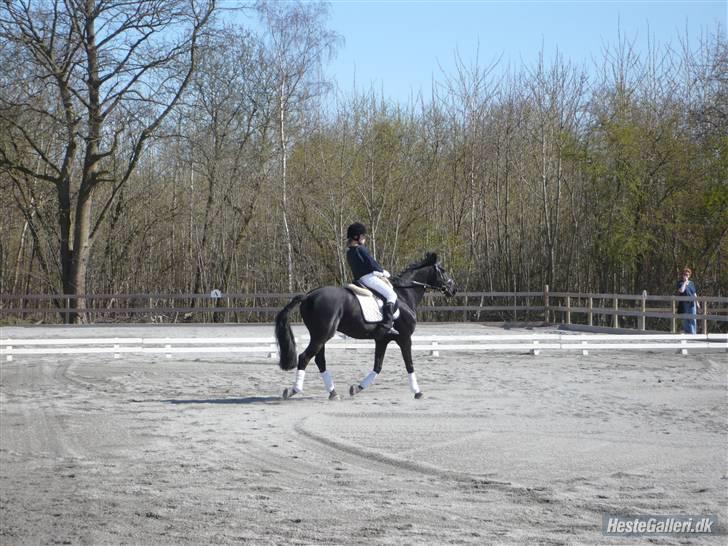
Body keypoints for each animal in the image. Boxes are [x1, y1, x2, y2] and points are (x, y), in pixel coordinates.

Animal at [272, 250, 456, 396]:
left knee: (319, 360)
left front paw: (357, 388)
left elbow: (377, 366)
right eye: (443, 271)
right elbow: (409, 365)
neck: (404, 296)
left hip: (320, 335)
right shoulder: (405, 338)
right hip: (322, 335)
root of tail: (308, 295)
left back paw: (333, 392)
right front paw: (417, 392)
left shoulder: (382, 340)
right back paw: (294, 390)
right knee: (304, 358)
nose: (453, 290)